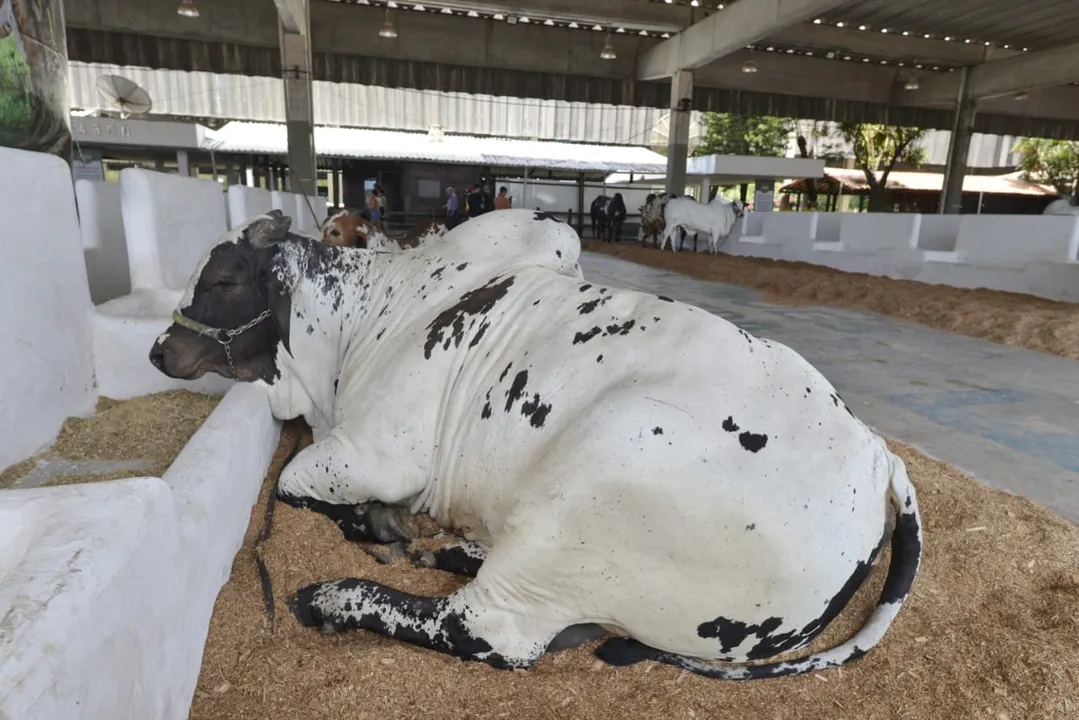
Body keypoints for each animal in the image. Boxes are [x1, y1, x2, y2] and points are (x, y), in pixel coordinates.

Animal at [149, 207, 919, 682]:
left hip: (594, 483)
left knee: (483, 628)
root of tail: (877, 453)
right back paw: (447, 547)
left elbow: (293, 481)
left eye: (222, 279)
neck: (364, 320)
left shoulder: (376, 451)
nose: (158, 350)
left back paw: (334, 597)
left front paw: (379, 523)